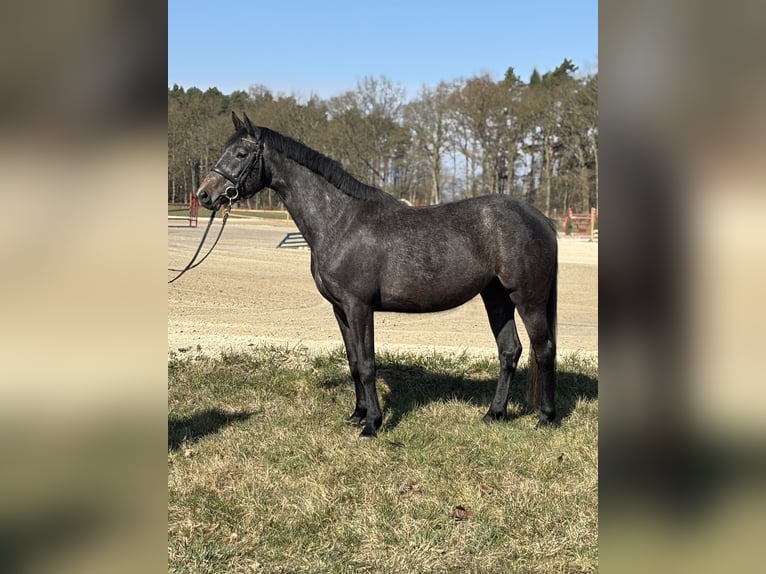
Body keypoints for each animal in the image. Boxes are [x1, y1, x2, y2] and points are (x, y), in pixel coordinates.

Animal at [196, 112, 558, 438]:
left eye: (241, 154)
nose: (204, 195)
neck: (340, 221)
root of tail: (540, 218)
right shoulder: (340, 309)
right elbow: (355, 362)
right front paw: (357, 415)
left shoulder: (360, 307)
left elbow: (369, 365)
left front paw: (372, 425)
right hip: (496, 296)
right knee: (509, 351)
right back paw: (493, 414)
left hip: (528, 299)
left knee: (544, 349)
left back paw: (546, 419)